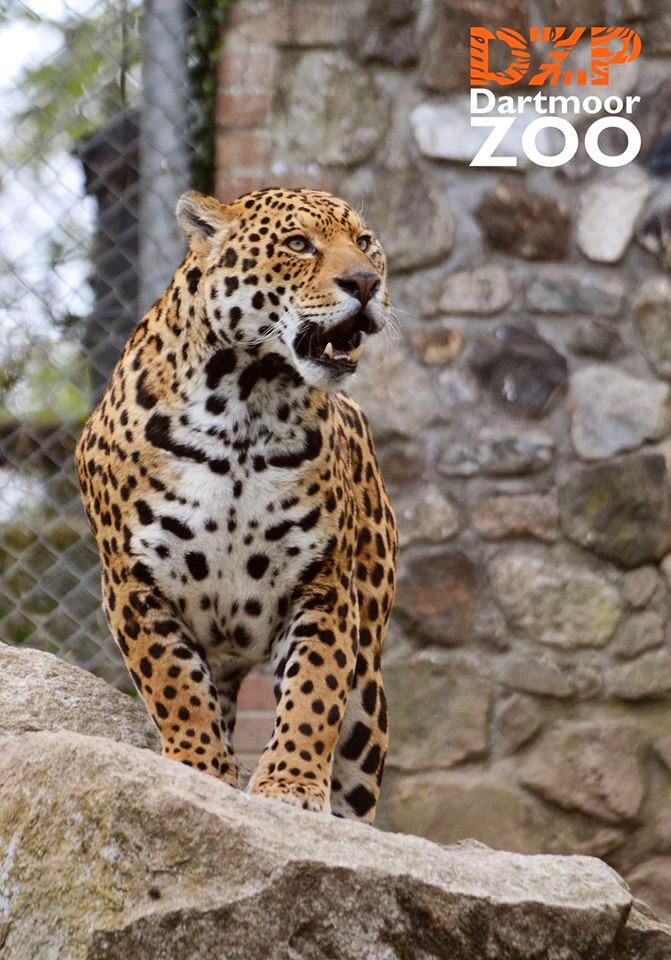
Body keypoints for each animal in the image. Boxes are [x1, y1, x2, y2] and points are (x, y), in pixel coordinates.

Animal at [75, 186, 397, 821]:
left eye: (365, 243)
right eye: (298, 244)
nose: (366, 282)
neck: (248, 402)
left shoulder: (325, 585)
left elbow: (314, 690)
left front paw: (291, 785)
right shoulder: (132, 581)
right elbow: (174, 683)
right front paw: (200, 768)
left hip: (367, 694)